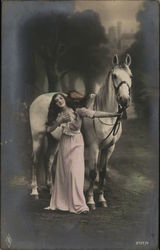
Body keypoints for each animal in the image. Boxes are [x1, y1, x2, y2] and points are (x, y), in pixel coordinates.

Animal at [29, 52, 132, 207]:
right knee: (35, 161)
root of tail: (37, 99)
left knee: (49, 160)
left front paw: (102, 199)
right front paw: (90, 200)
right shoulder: (94, 148)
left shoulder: (109, 148)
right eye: (114, 75)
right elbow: (93, 172)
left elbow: (102, 172)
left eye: (130, 75)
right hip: (38, 137)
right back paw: (34, 191)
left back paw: (52, 190)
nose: (124, 99)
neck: (107, 116)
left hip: (53, 139)